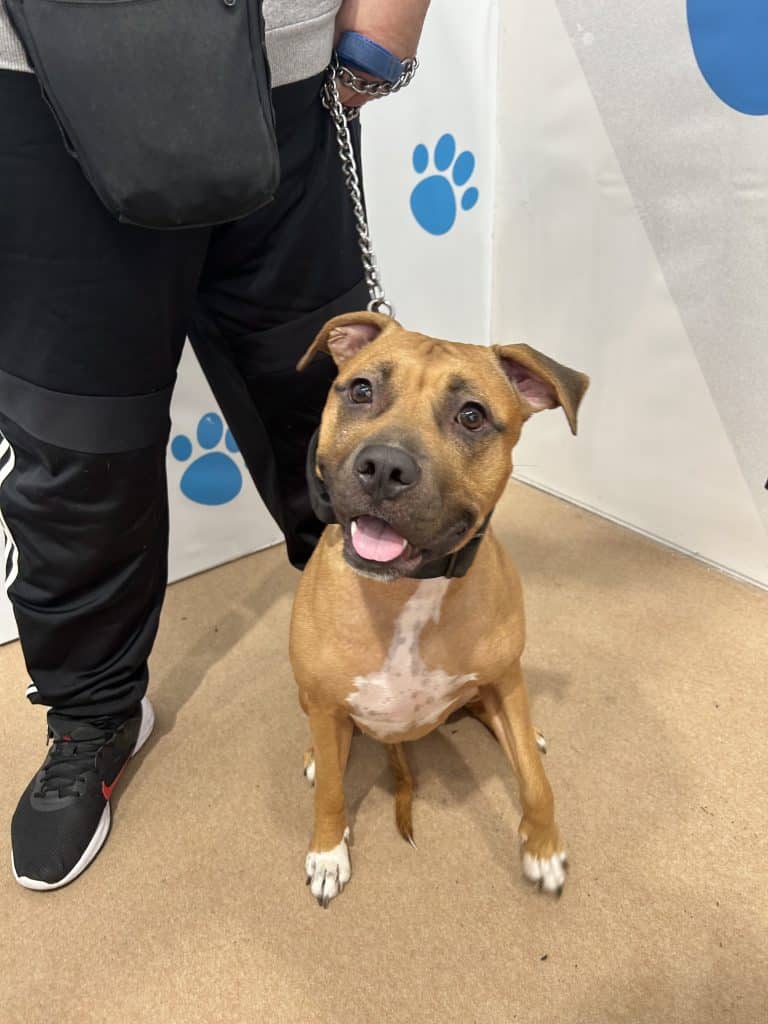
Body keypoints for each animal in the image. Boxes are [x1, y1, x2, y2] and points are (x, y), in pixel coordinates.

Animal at [290, 311, 589, 907]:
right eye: (362, 390)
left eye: (471, 416)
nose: (384, 467)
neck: (406, 592)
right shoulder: (328, 705)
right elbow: (332, 791)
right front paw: (328, 852)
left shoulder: (506, 677)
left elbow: (536, 784)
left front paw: (543, 847)